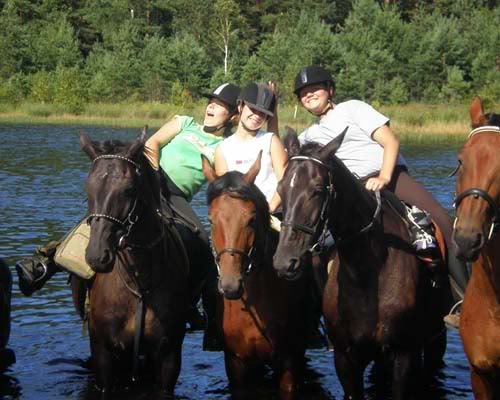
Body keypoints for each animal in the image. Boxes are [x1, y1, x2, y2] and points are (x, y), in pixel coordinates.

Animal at [80, 131, 189, 399]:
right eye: (88, 186)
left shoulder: (169, 357)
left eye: (129, 189)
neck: (139, 281)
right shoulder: (103, 354)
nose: (97, 256)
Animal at [273, 129, 447, 400]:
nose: (284, 262)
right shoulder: (345, 358)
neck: (367, 273)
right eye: (281, 188)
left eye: (318, 189)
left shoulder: (403, 353)